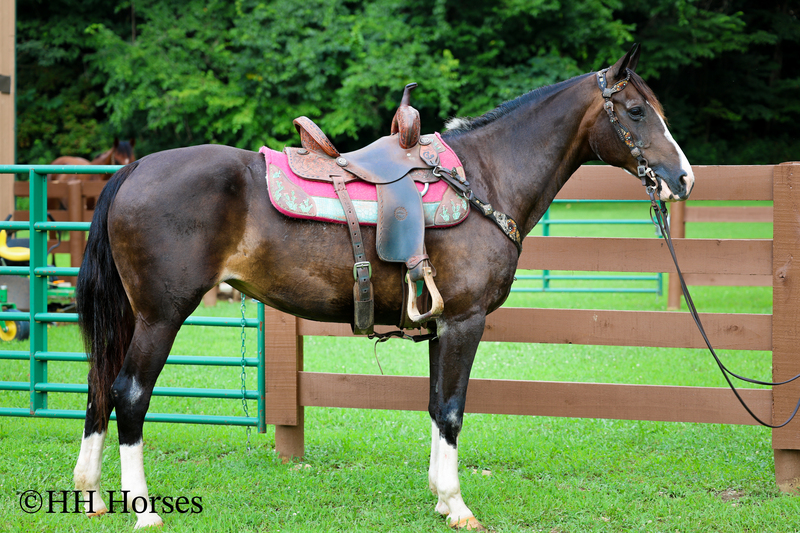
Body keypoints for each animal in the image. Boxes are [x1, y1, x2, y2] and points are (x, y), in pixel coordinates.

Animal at [72, 46, 694, 530]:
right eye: (636, 111)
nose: (684, 178)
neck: (484, 179)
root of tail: (134, 169)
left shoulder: (442, 324)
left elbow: (435, 404)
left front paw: (441, 500)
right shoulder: (465, 321)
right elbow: (452, 409)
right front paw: (457, 505)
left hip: (132, 318)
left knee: (100, 387)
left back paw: (91, 493)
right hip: (161, 317)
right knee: (129, 392)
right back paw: (144, 509)